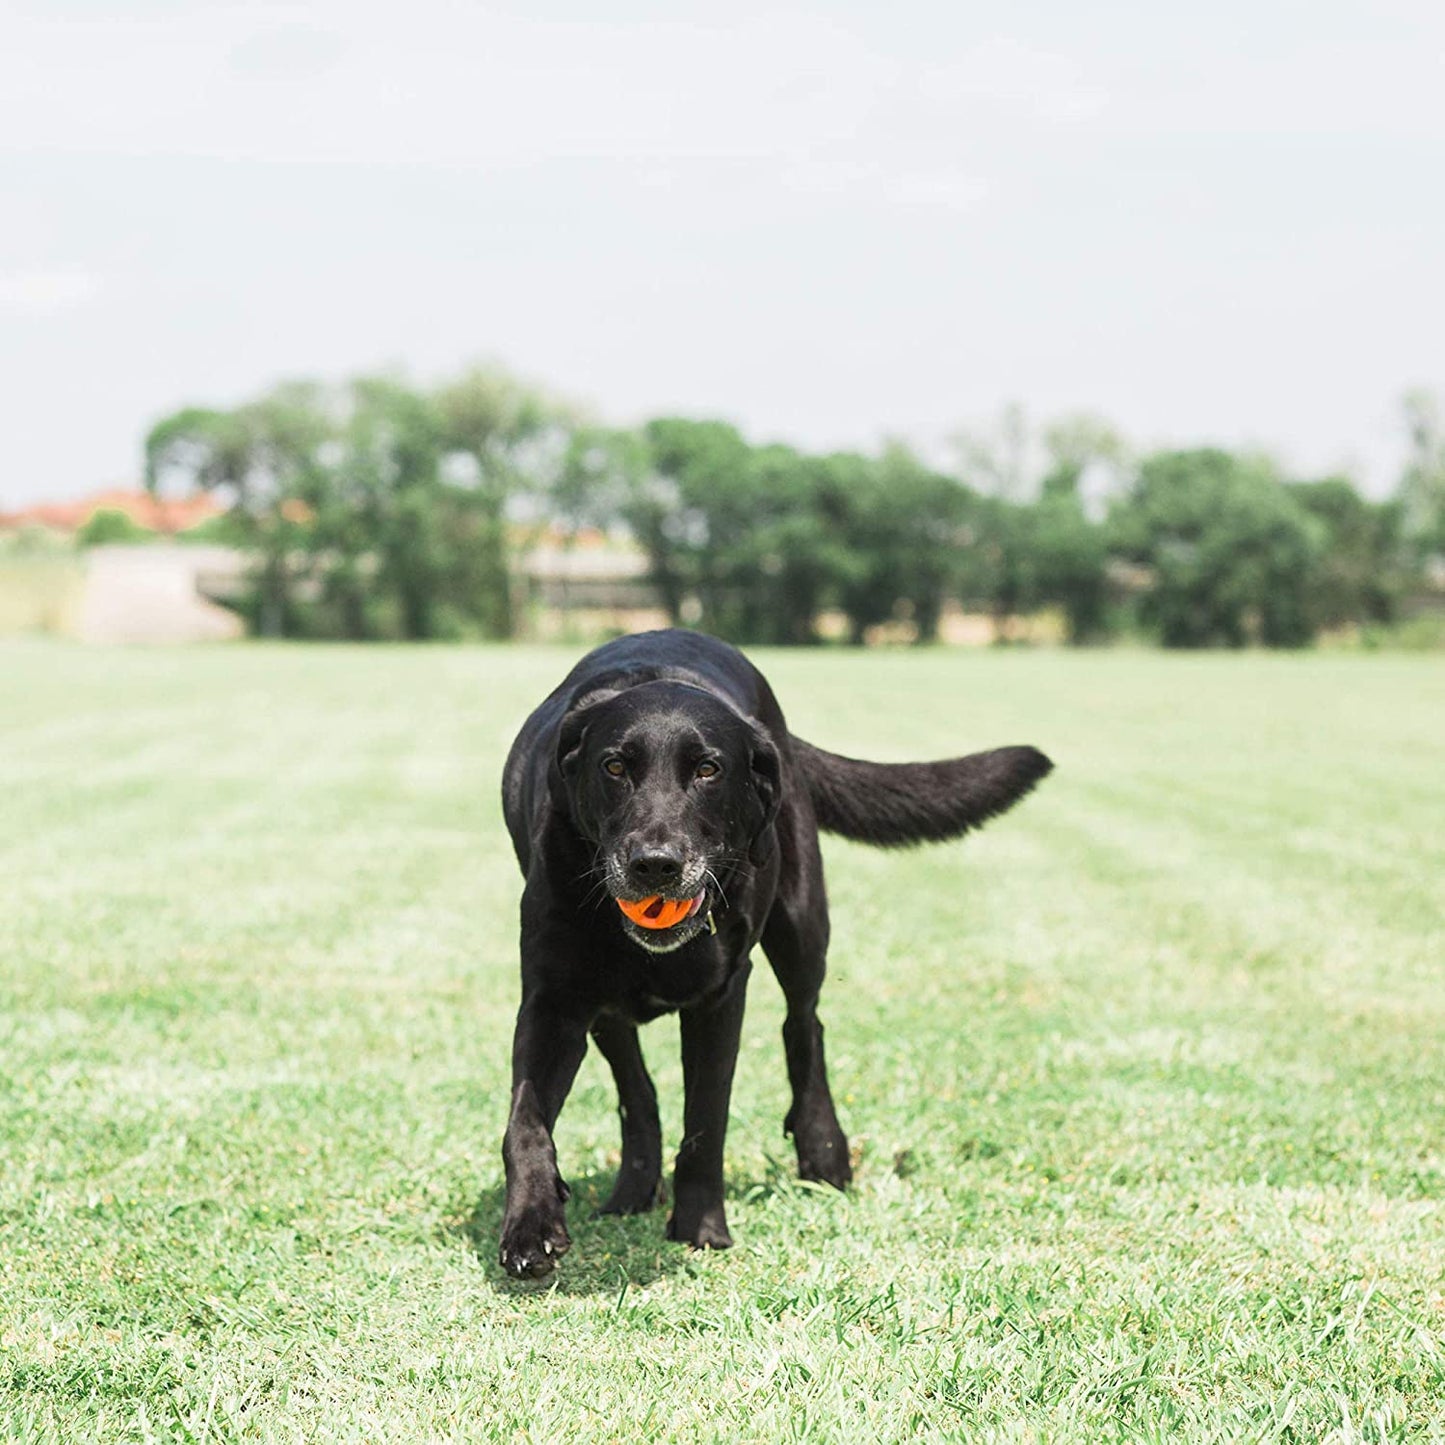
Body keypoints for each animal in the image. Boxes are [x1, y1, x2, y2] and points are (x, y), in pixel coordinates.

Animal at [497, 630, 1051, 1277]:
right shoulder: (553, 1002)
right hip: (608, 1006)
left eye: (708, 769)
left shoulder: (721, 997)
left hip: (801, 920)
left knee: (803, 1023)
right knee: (636, 1085)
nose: (655, 865)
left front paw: (701, 1229)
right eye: (613, 766)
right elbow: (526, 1122)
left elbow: (707, 1119)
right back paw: (633, 1186)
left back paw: (823, 1150)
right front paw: (531, 1228)